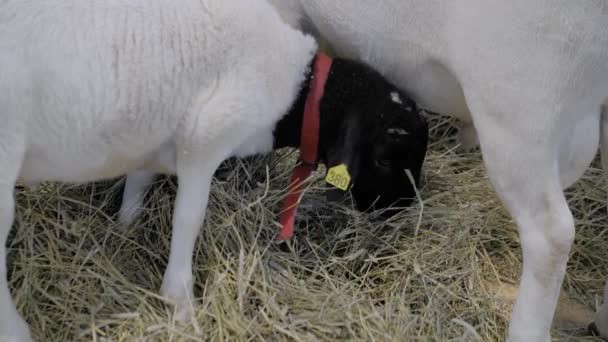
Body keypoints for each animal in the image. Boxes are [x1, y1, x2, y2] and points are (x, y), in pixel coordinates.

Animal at [0, 1, 428, 340]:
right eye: (385, 158)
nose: (400, 209)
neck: (293, 84)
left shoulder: (159, 134)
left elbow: (139, 179)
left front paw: (124, 228)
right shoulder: (205, 137)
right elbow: (189, 217)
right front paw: (181, 303)